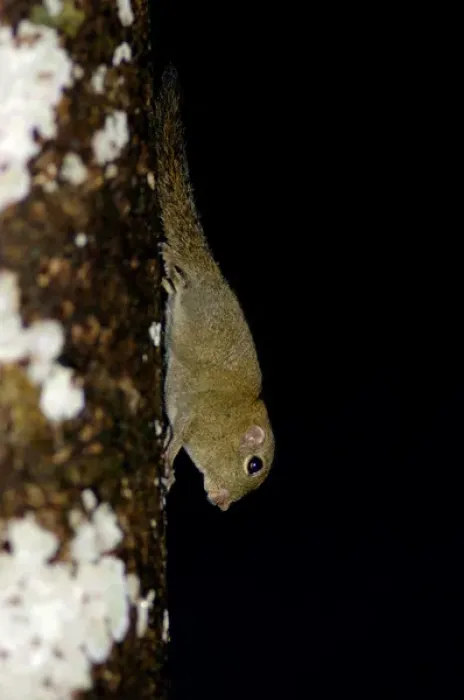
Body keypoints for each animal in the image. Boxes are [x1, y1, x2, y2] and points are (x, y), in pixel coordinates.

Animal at [154, 66, 275, 511]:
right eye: (253, 465)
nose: (222, 504)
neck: (230, 420)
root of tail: (212, 272)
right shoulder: (194, 418)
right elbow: (178, 437)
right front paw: (167, 465)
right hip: (195, 293)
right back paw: (173, 274)